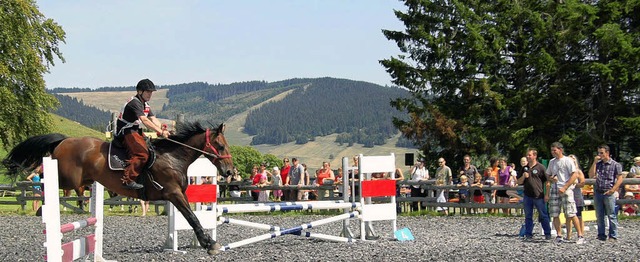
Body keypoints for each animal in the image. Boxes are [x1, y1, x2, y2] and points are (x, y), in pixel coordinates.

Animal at [2, 122, 232, 255]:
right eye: (220, 146)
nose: (229, 171)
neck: (173, 157)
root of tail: (64, 140)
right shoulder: (173, 193)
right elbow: (192, 218)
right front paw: (209, 244)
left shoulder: (178, 194)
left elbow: (192, 216)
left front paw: (207, 242)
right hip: (67, 179)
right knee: (45, 184)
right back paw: (43, 210)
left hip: (80, 181)